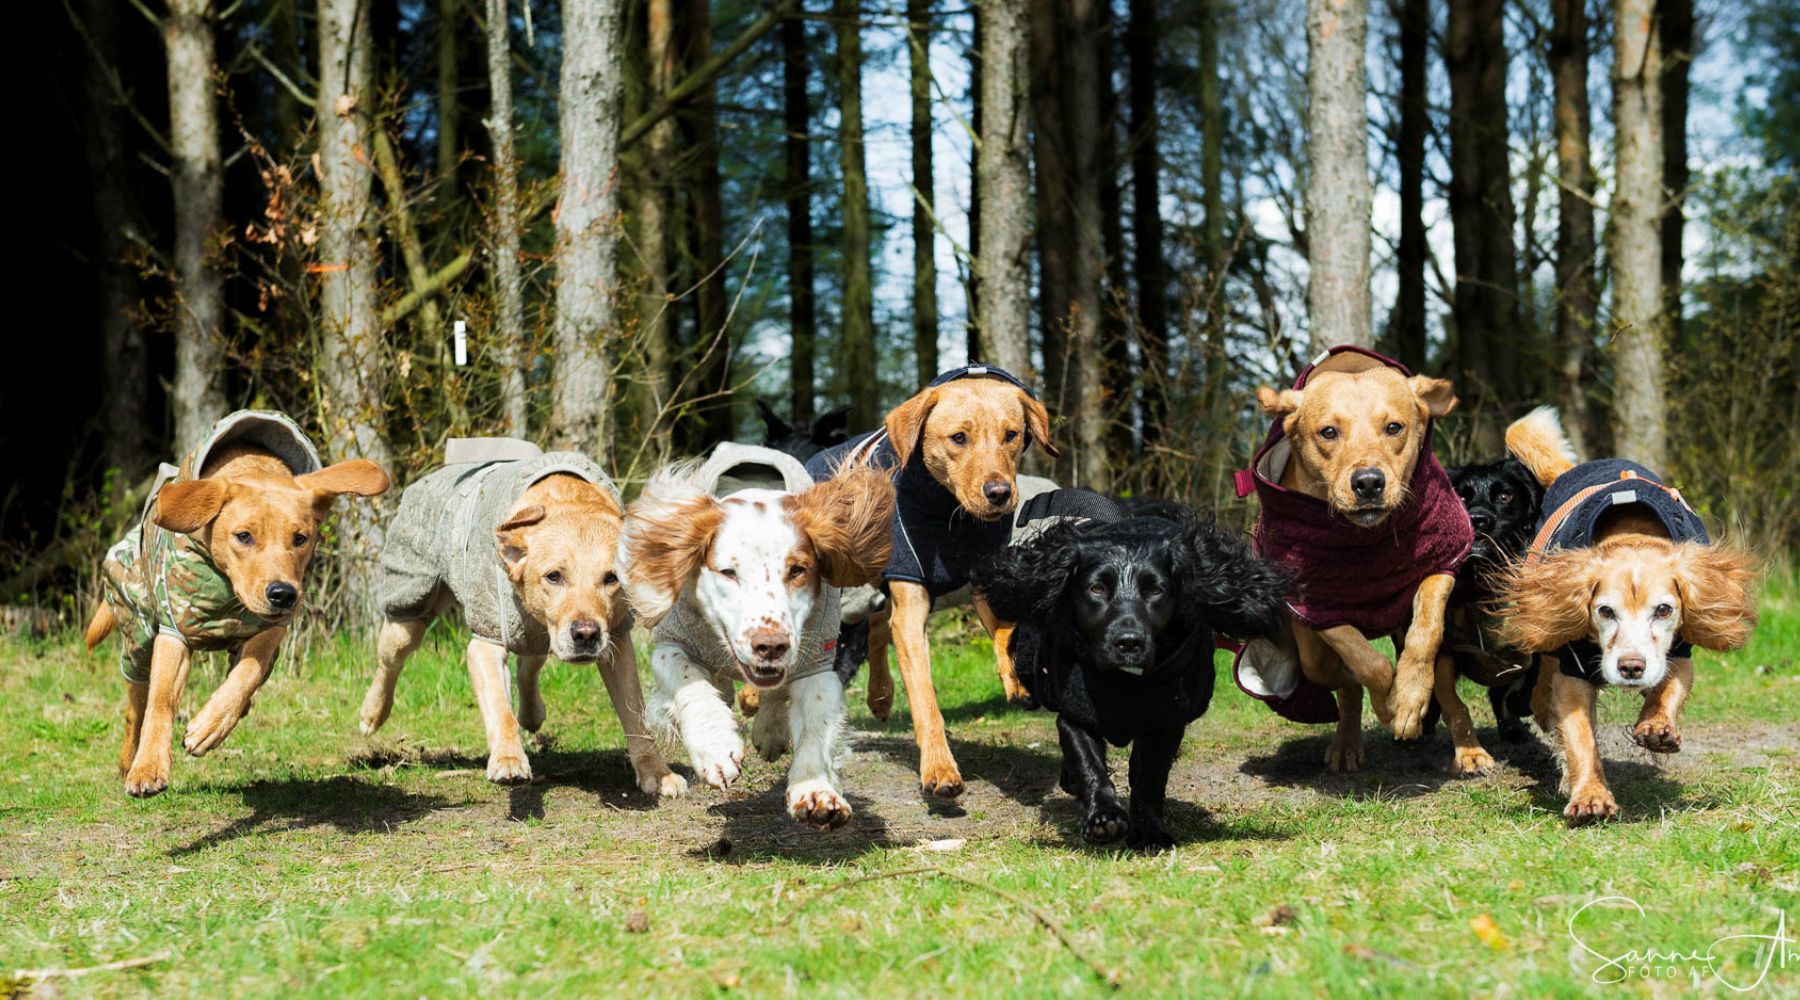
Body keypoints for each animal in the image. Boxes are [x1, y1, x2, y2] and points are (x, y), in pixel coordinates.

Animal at [979, 503, 1288, 848]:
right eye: (1097, 588)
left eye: (1155, 590)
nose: (1128, 642)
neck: (1126, 680)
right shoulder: (1075, 716)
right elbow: (1089, 765)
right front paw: (1104, 818)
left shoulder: (1164, 724)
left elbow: (1149, 778)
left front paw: (1149, 831)